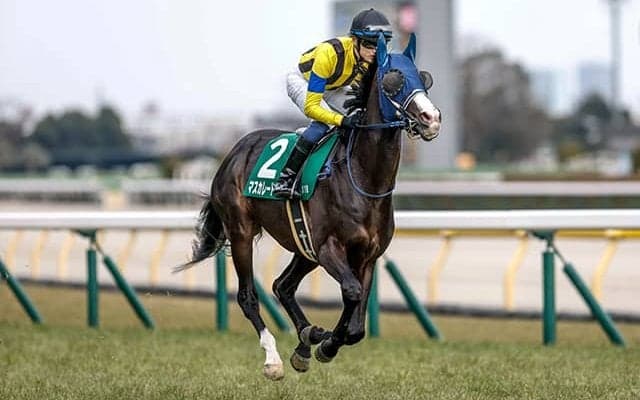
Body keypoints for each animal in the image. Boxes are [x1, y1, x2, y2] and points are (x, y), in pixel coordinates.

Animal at [177, 33, 441, 380]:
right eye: (393, 80)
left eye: (424, 79)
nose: (431, 118)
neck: (364, 180)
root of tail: (233, 153)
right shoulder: (329, 247)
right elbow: (352, 293)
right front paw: (327, 344)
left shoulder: (367, 255)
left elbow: (357, 324)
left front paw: (321, 341)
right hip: (242, 231)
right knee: (248, 296)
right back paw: (274, 358)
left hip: (303, 246)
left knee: (283, 286)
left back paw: (305, 339)